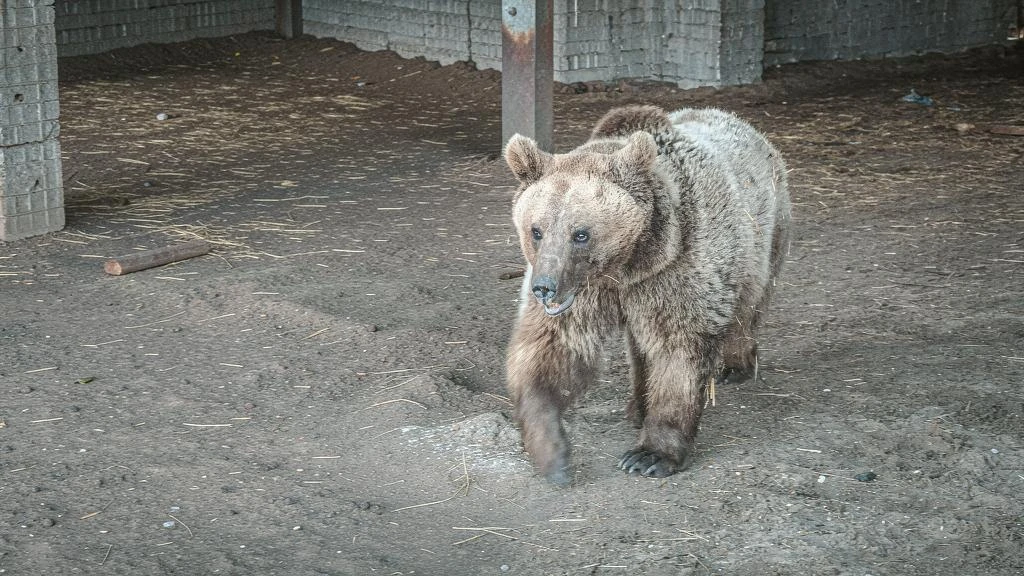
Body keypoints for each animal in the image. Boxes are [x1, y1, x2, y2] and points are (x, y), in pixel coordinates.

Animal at [504, 105, 791, 485]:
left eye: (580, 233)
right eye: (536, 230)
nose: (544, 287)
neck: (629, 265)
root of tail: (741, 123)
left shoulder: (676, 272)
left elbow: (678, 350)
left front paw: (650, 455)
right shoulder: (588, 294)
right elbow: (551, 351)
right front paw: (551, 451)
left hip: (763, 231)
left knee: (749, 303)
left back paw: (736, 364)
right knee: (639, 347)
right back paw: (638, 404)